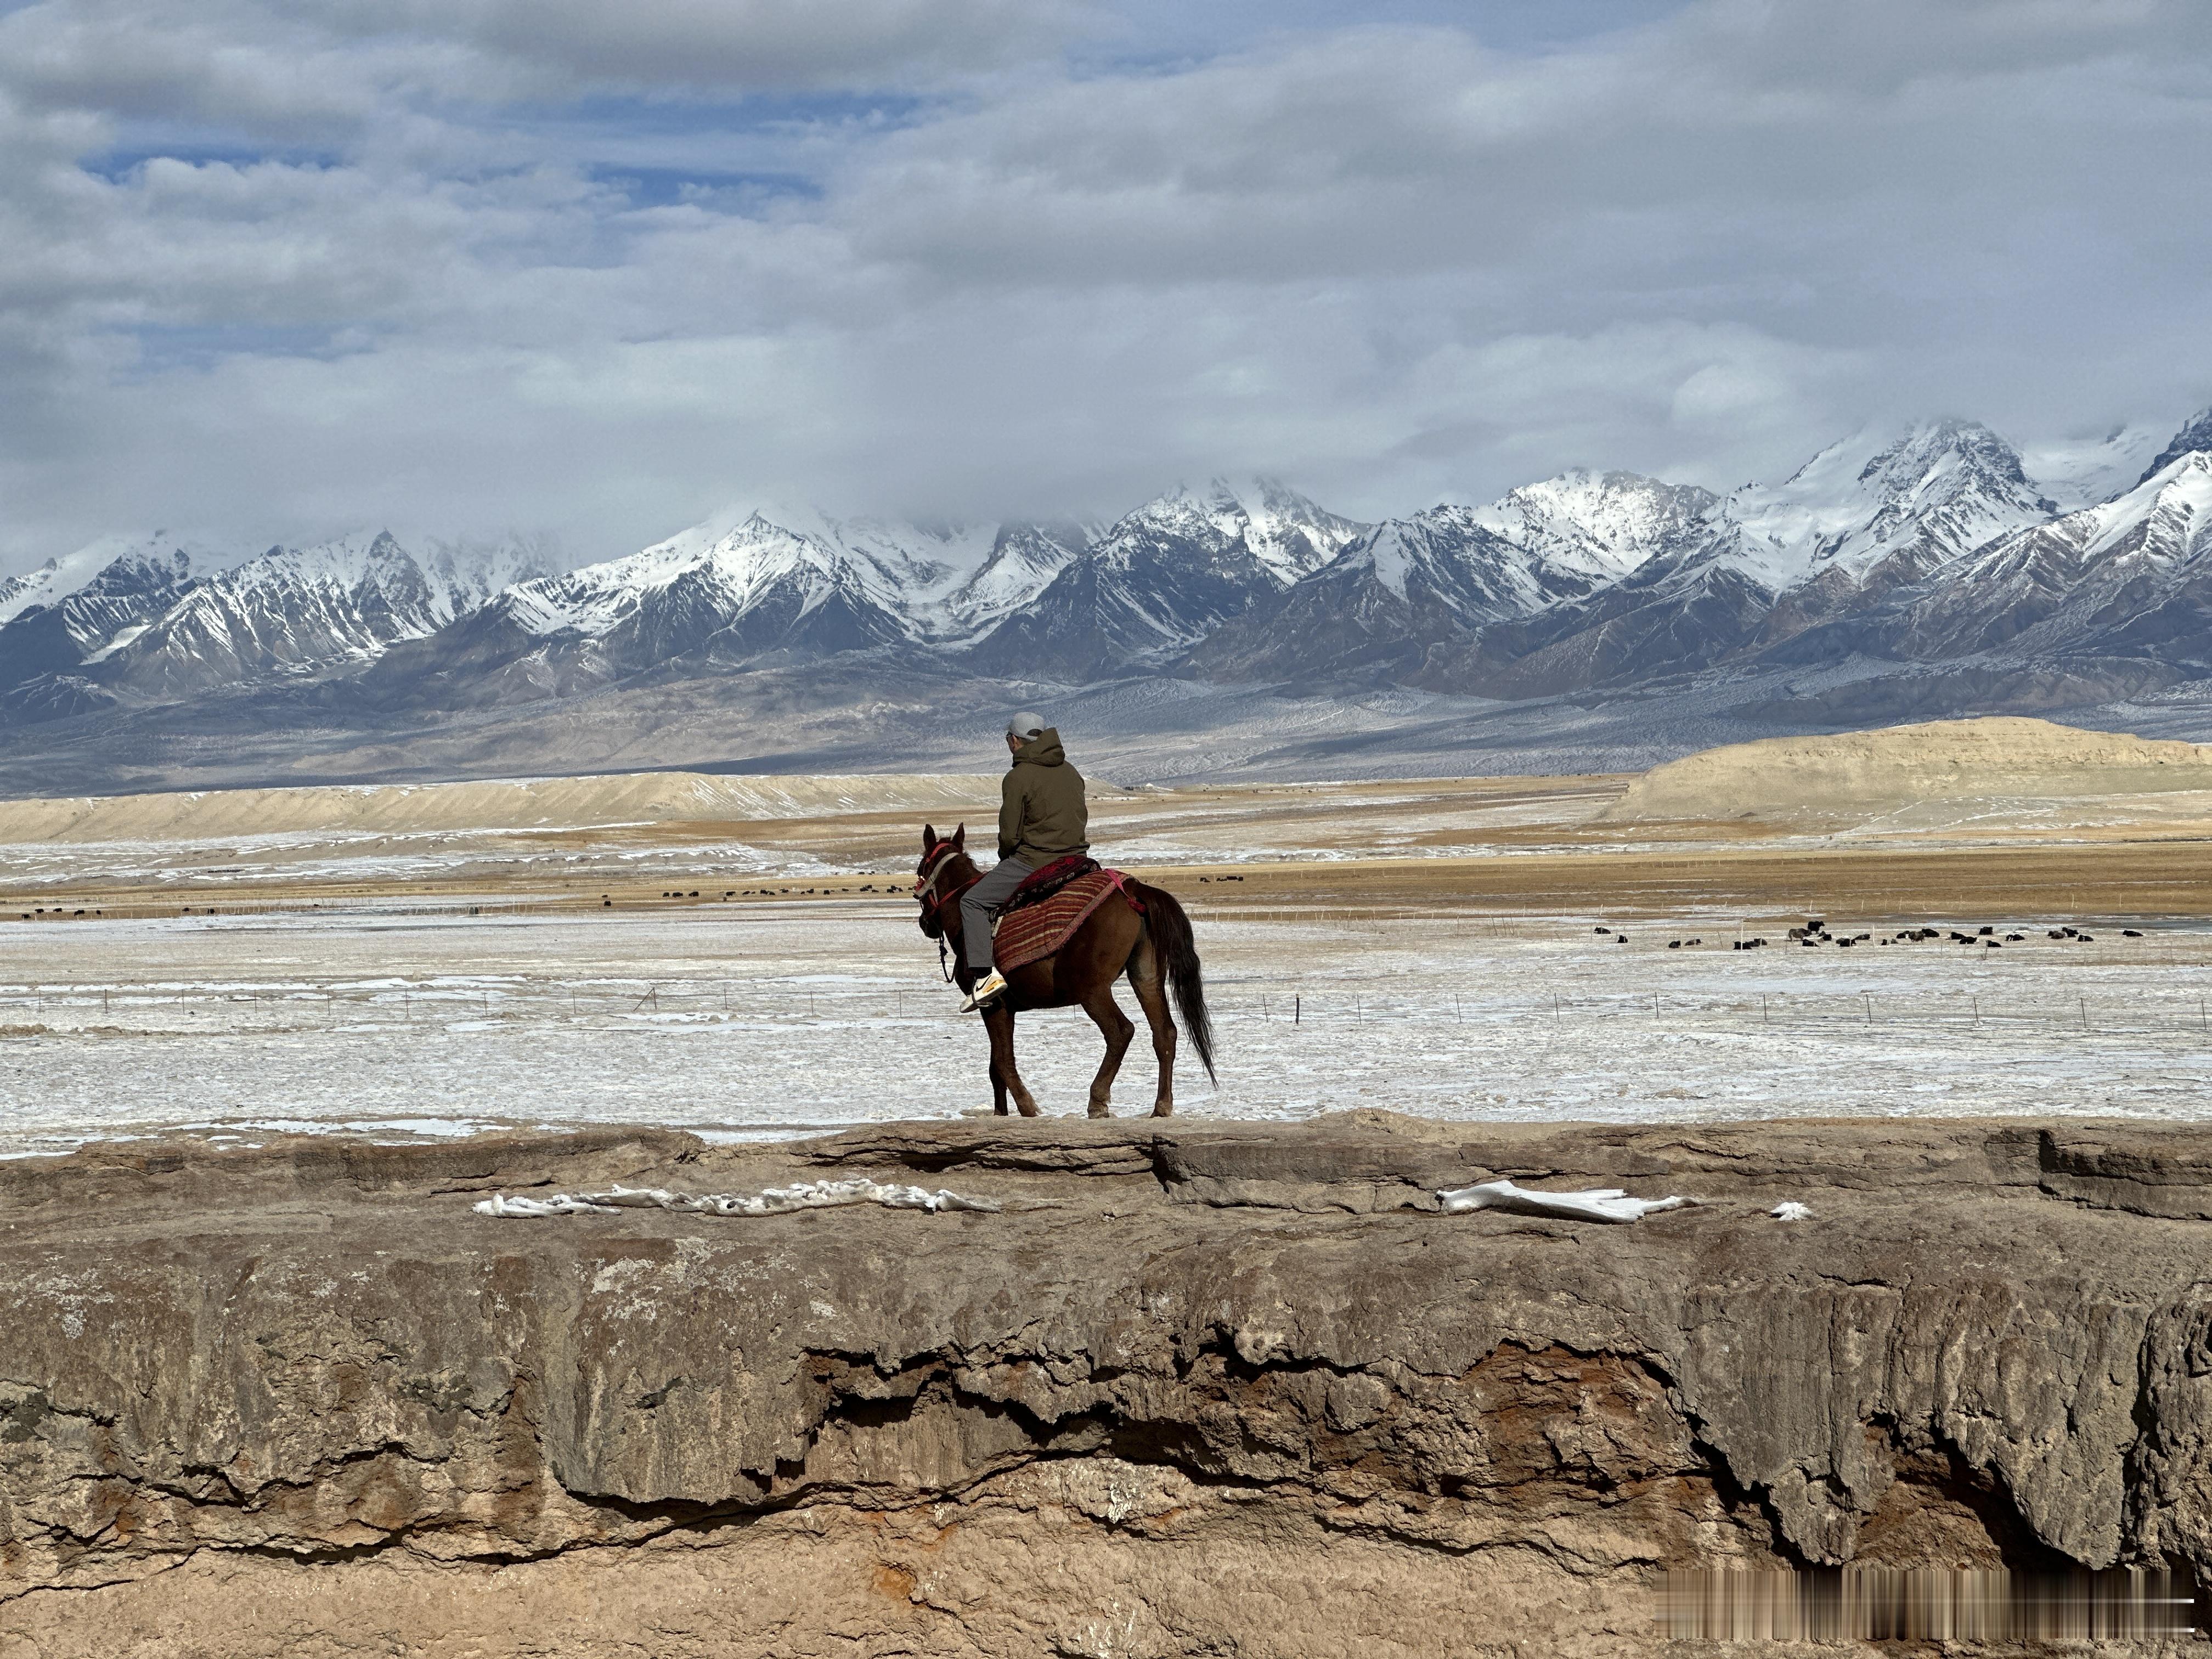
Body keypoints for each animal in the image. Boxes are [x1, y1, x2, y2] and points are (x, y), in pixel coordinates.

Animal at [912, 823, 1214, 1117]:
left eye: (921, 868)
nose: (924, 924)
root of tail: (1134, 891)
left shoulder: (994, 1005)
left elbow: (1001, 1060)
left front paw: (1028, 1107)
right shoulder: (1006, 1009)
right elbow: (995, 1065)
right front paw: (1001, 1113)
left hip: (1092, 991)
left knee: (1121, 1031)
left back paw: (1098, 1101)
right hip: (1145, 976)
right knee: (1165, 1033)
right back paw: (1161, 1107)